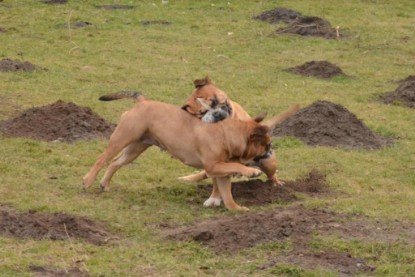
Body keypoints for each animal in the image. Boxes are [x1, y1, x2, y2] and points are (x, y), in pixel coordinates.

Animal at [83, 92, 274, 209]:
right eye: (266, 144)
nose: (271, 151)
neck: (226, 134)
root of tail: (143, 101)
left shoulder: (221, 171)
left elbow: (227, 193)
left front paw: (237, 209)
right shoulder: (213, 166)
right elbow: (236, 168)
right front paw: (251, 171)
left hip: (136, 147)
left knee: (116, 162)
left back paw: (104, 184)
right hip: (122, 138)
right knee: (102, 159)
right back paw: (87, 181)